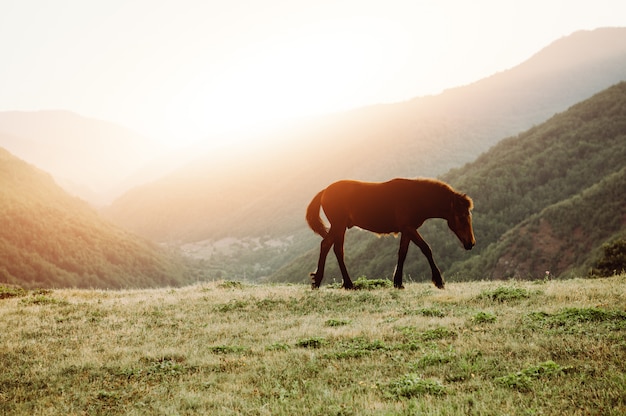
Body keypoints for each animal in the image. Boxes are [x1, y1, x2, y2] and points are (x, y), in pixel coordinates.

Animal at [304, 178, 472, 290]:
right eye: (462, 216)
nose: (470, 243)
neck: (416, 197)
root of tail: (325, 191)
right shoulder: (409, 228)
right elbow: (426, 249)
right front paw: (438, 280)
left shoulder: (407, 230)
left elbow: (402, 253)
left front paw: (398, 282)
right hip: (338, 225)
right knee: (332, 247)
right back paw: (342, 283)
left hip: (339, 226)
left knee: (331, 247)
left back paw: (327, 281)